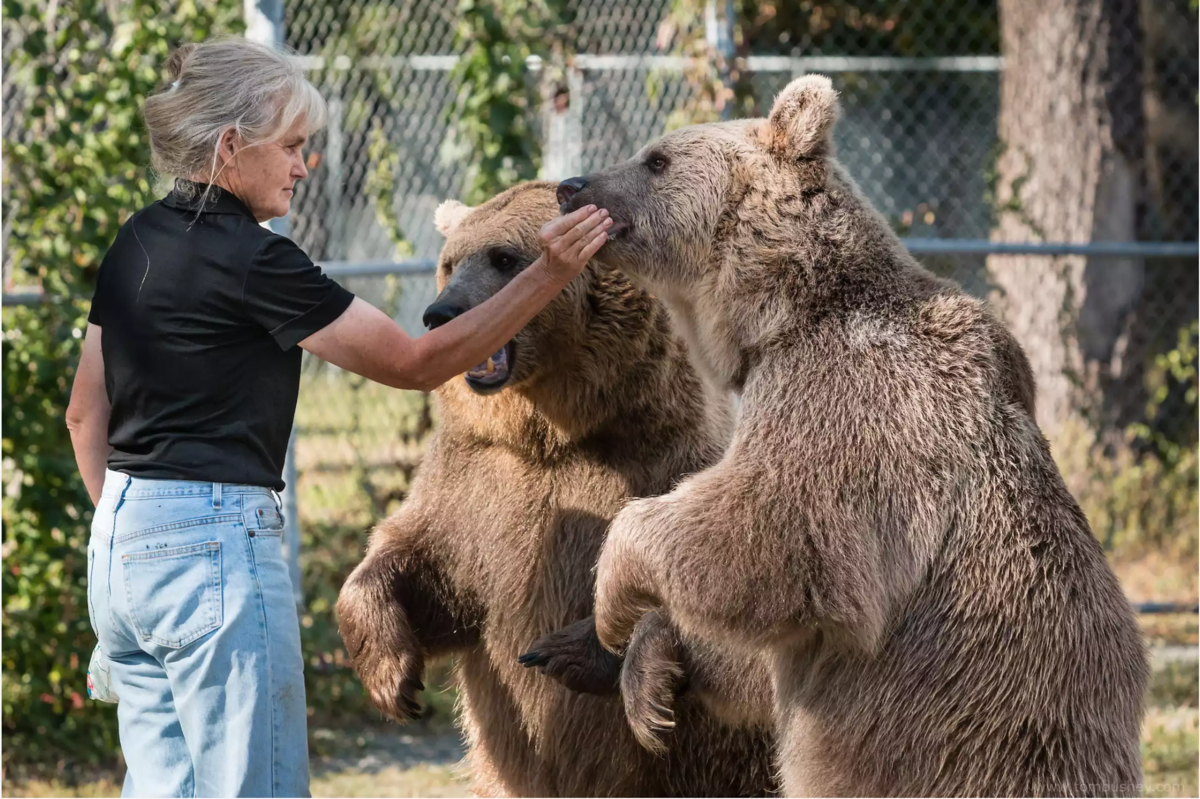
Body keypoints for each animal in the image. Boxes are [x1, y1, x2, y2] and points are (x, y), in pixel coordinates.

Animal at [333, 182, 777, 796]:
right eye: (450, 263)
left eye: (503, 257)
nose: (441, 313)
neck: (553, 432)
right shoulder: (475, 484)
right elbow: (422, 565)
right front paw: (389, 673)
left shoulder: (668, 458)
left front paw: (568, 652)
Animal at [556, 76, 1147, 796]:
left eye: (655, 159)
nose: (572, 186)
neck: (786, 308)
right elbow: (764, 653)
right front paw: (648, 676)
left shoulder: (848, 400)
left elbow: (766, 533)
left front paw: (612, 602)